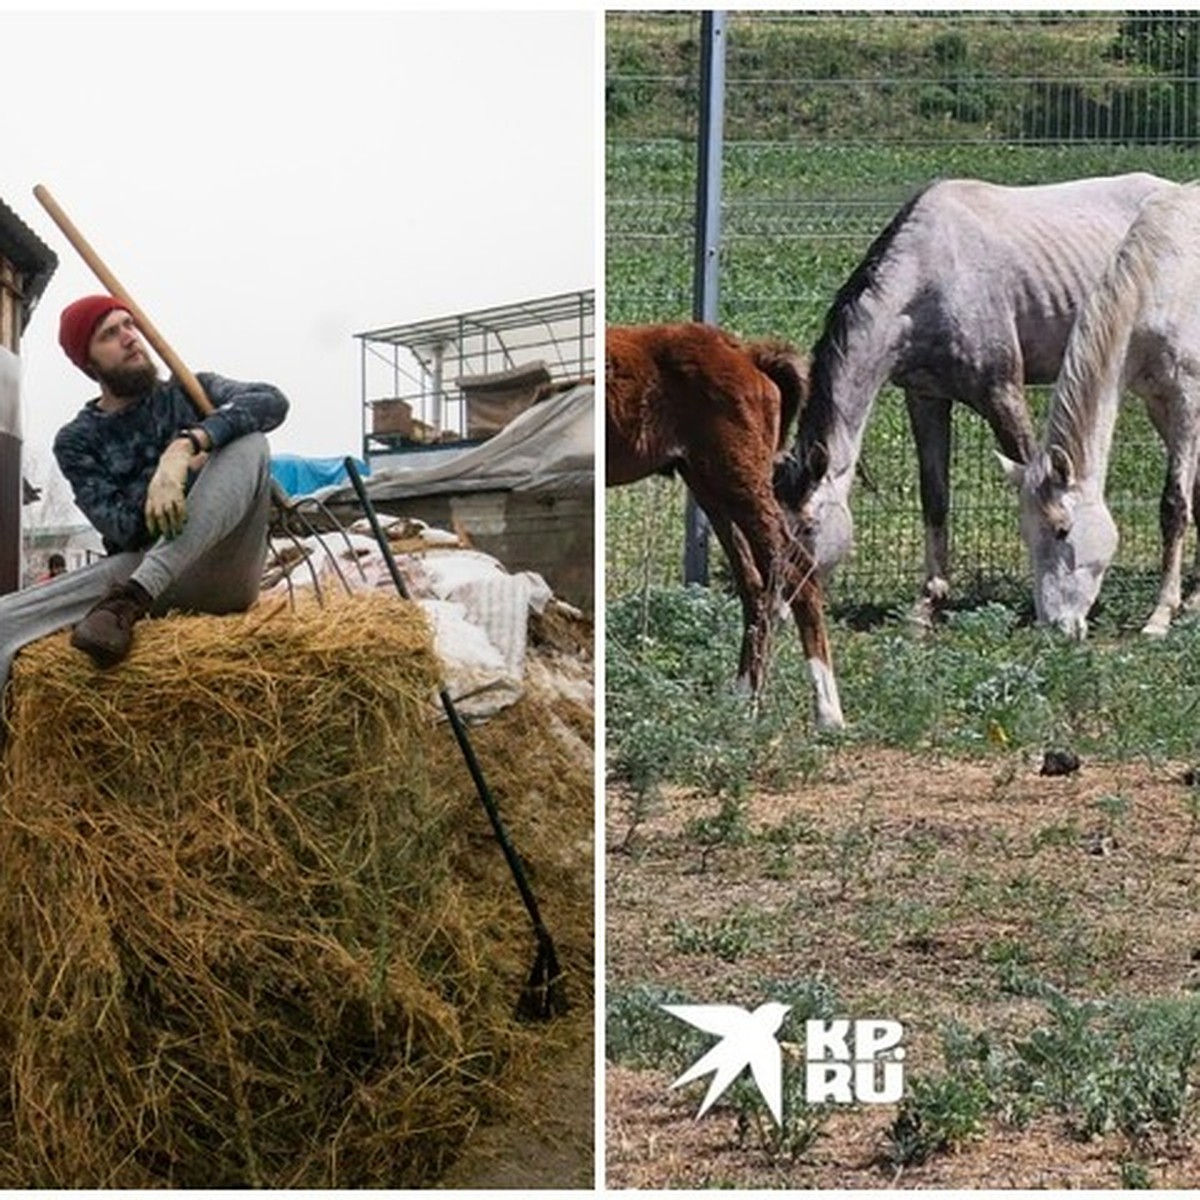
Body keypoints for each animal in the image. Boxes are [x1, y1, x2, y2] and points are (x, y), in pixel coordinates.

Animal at [609, 321, 844, 729]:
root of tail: (747, 355)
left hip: (739, 478)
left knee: (794, 569)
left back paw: (827, 713)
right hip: (709, 485)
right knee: (756, 583)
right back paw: (741, 701)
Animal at [772, 174, 1176, 624]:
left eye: (809, 527)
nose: (780, 609)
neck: (930, 277)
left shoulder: (1001, 393)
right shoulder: (925, 397)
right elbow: (935, 496)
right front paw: (928, 603)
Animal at [1003, 180, 1200, 638]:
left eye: (1062, 530)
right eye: (1026, 534)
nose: (1054, 628)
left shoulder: (1188, 398)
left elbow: (1175, 504)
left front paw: (1161, 615)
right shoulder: (1158, 403)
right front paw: (1195, 600)